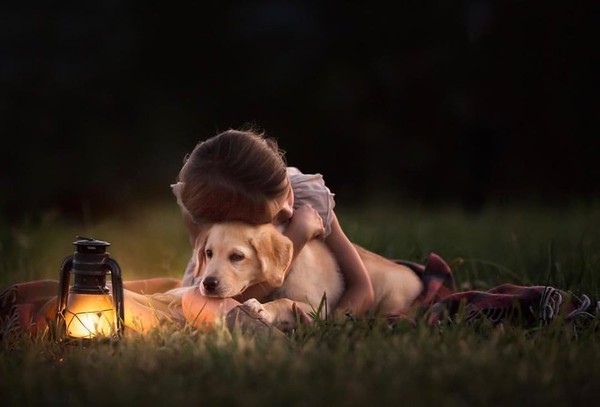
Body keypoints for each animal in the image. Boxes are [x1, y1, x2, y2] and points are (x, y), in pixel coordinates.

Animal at [195, 220, 424, 332]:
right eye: (209, 253)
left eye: (237, 257)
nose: (208, 284)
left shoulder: (318, 308)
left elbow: (285, 301)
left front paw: (261, 308)